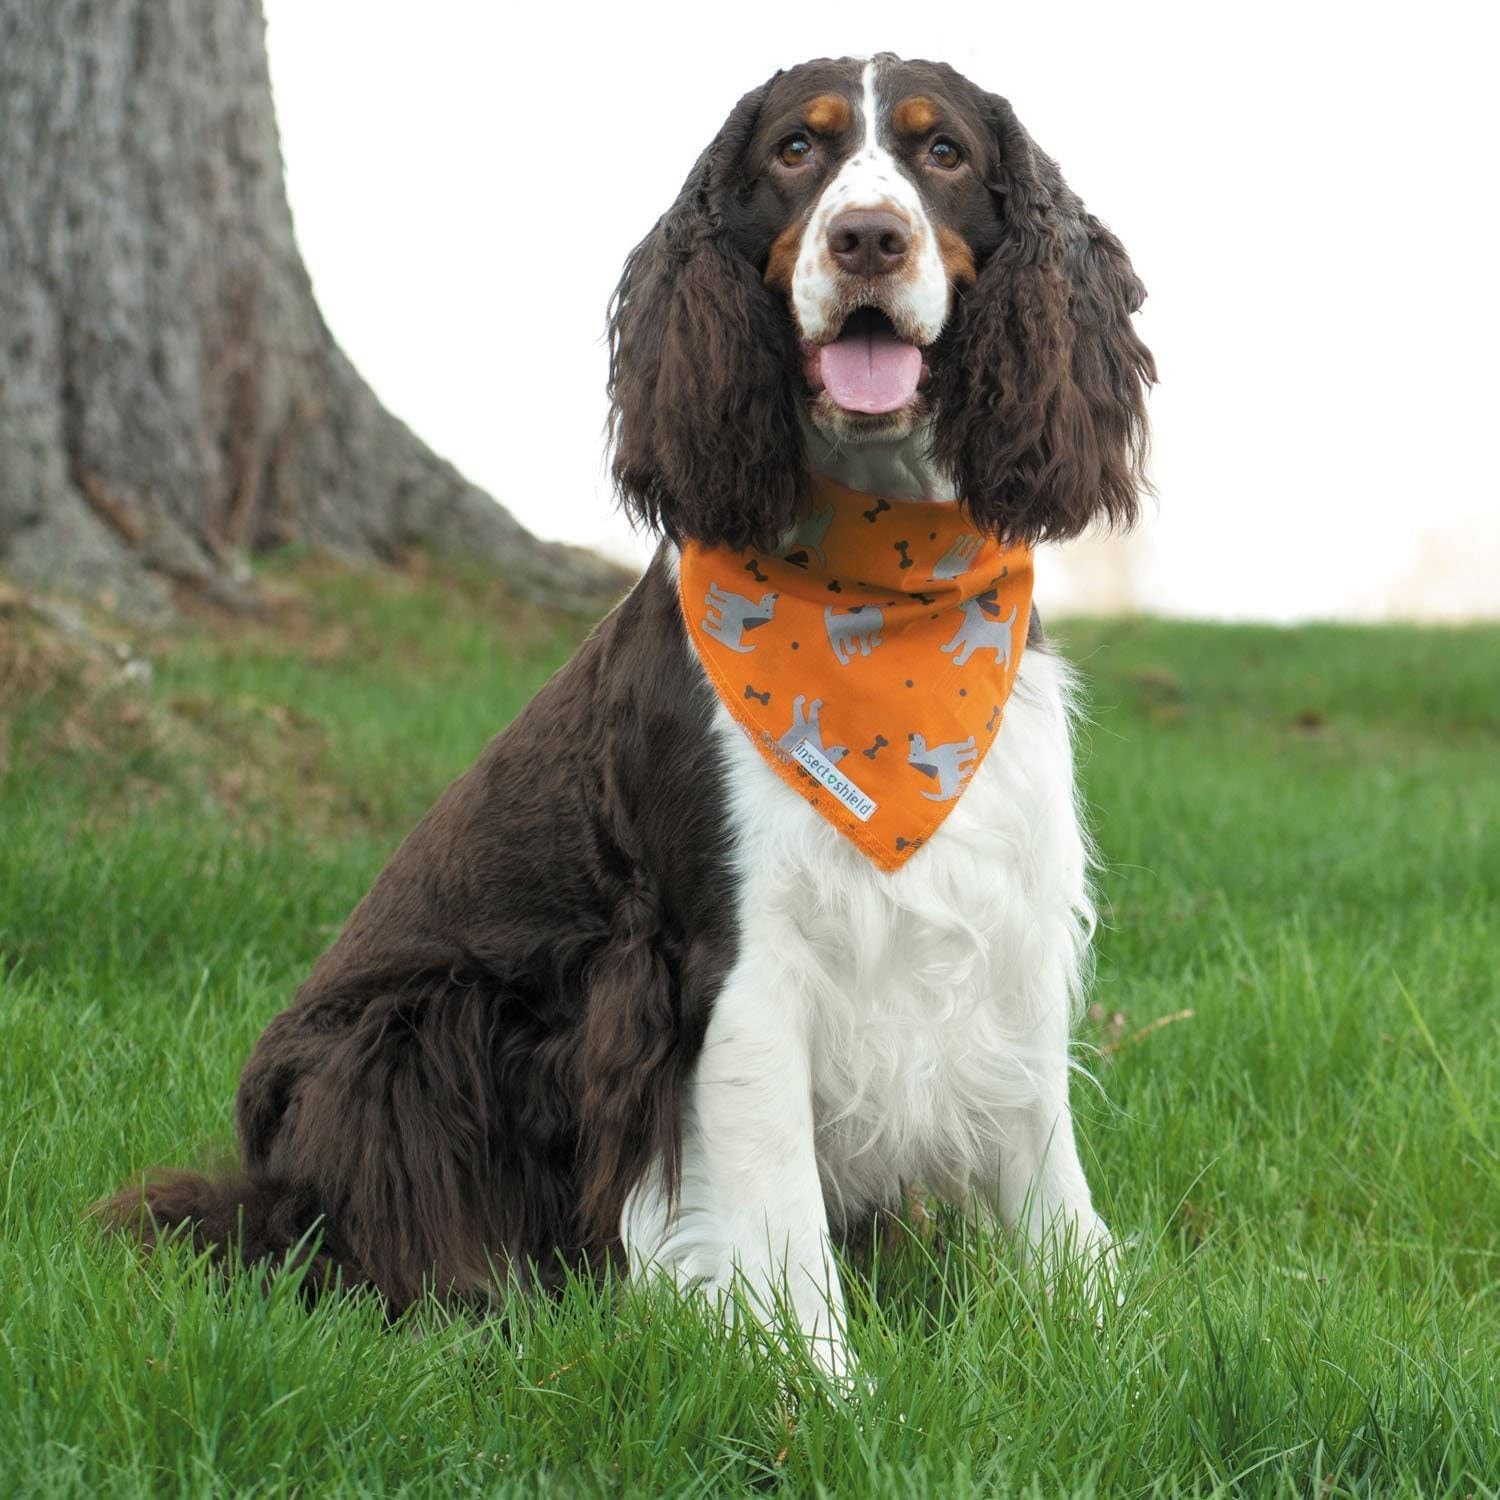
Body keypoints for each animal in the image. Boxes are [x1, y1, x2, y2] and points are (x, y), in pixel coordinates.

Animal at [102, 49, 1158, 1380]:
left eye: (944, 152)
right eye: (797, 152)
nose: (867, 237)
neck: (882, 591)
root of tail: (258, 1177)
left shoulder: (1005, 907)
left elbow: (1047, 1160)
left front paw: (1115, 1337)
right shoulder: (725, 957)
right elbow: (777, 1212)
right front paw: (821, 1382)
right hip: (410, 1033)